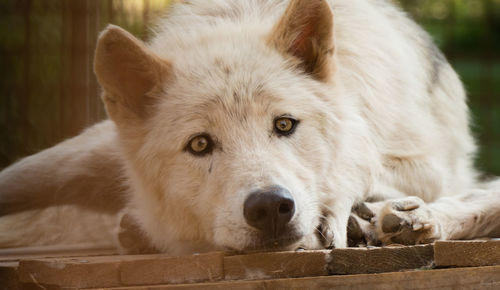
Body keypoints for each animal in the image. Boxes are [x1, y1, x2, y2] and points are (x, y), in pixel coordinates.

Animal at [0, 0, 498, 254]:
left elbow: (360, 163)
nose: (269, 208)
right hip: (81, 158)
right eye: (200, 144)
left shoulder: (428, 165)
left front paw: (339, 214)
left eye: (285, 124)